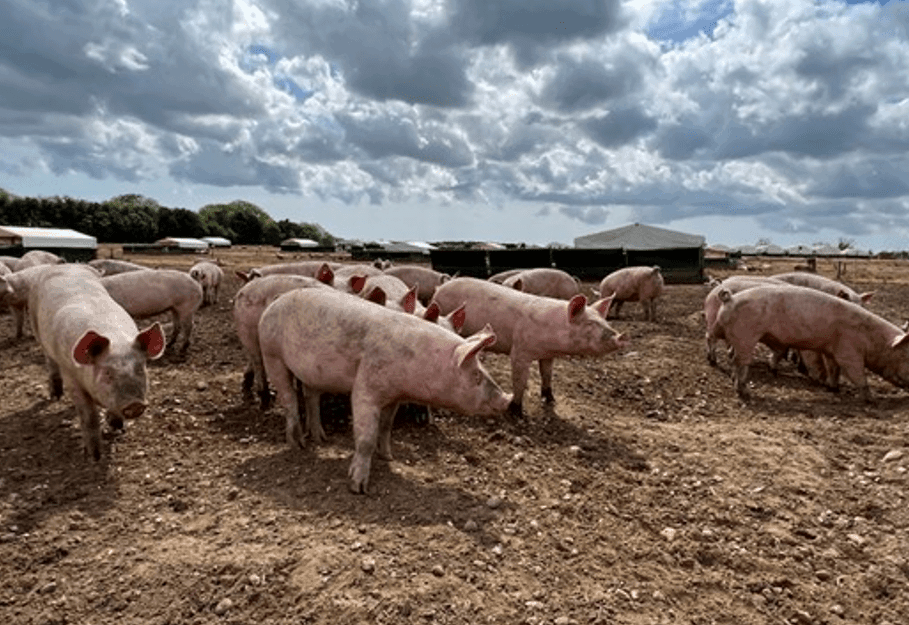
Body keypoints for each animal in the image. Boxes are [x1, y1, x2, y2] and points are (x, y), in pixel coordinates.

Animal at [28, 264, 165, 459]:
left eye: (140, 369)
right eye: (107, 373)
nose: (135, 404)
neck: (115, 339)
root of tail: (64, 265)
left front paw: (117, 429)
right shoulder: (71, 377)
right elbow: (89, 416)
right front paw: (94, 456)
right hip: (36, 327)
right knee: (50, 362)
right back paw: (55, 396)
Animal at [257, 287, 511, 493]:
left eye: (484, 369)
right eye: (476, 375)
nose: (507, 399)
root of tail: (275, 302)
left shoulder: (395, 395)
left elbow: (387, 426)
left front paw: (388, 457)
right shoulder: (366, 387)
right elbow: (366, 437)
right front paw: (358, 487)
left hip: (311, 372)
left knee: (311, 397)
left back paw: (320, 439)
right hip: (271, 353)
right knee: (289, 398)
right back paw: (297, 444)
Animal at [432, 277, 627, 415]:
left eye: (605, 321)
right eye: (589, 324)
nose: (622, 336)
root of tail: (439, 290)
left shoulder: (548, 355)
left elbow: (547, 374)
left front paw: (550, 400)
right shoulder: (520, 351)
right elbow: (520, 380)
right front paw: (516, 412)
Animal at [710, 284, 909, 402]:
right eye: (905, 356)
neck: (872, 339)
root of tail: (729, 298)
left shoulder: (831, 350)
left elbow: (833, 369)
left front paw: (834, 389)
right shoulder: (849, 352)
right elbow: (857, 374)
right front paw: (871, 399)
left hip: (730, 333)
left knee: (729, 353)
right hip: (746, 336)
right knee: (740, 362)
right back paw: (745, 393)